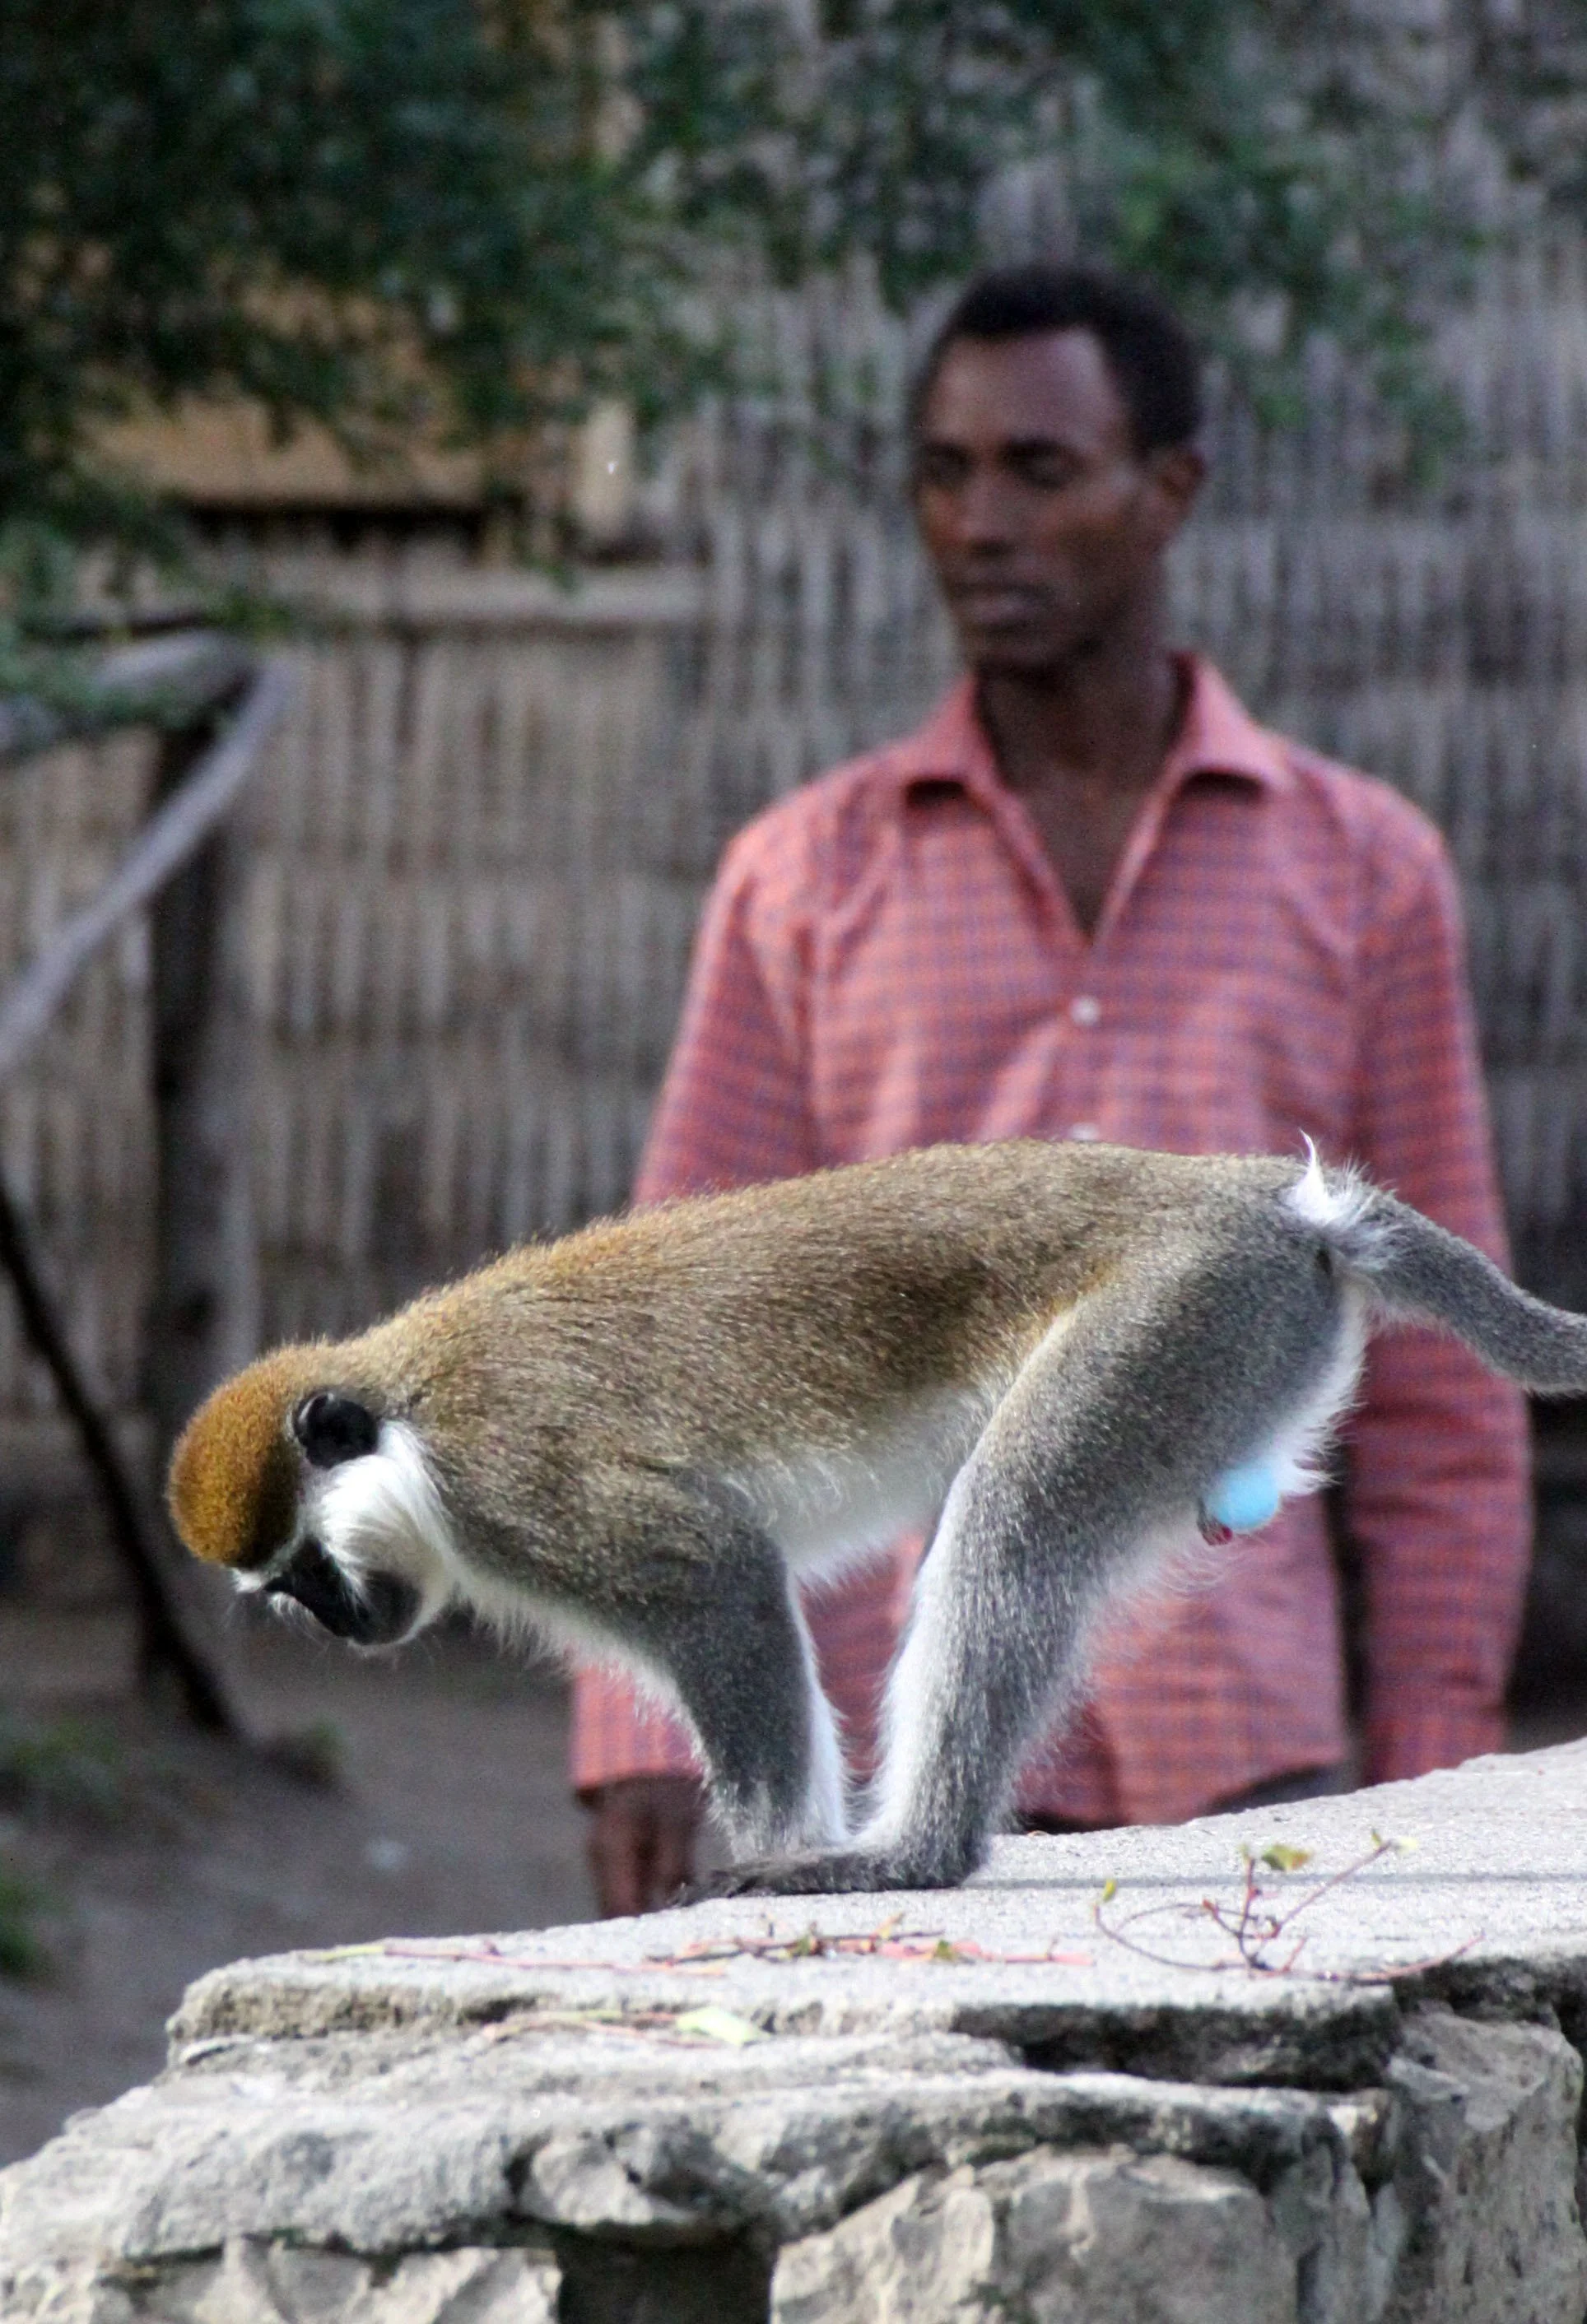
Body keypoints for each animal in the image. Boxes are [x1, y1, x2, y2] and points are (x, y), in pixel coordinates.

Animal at [166, 1138, 1587, 1897]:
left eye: (308, 1568)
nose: (335, 1622)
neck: (404, 1410)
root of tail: (1268, 1200)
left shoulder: (516, 1485)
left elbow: (721, 1576)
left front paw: (775, 1849)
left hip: (1182, 1315)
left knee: (1014, 1527)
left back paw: (915, 1857)